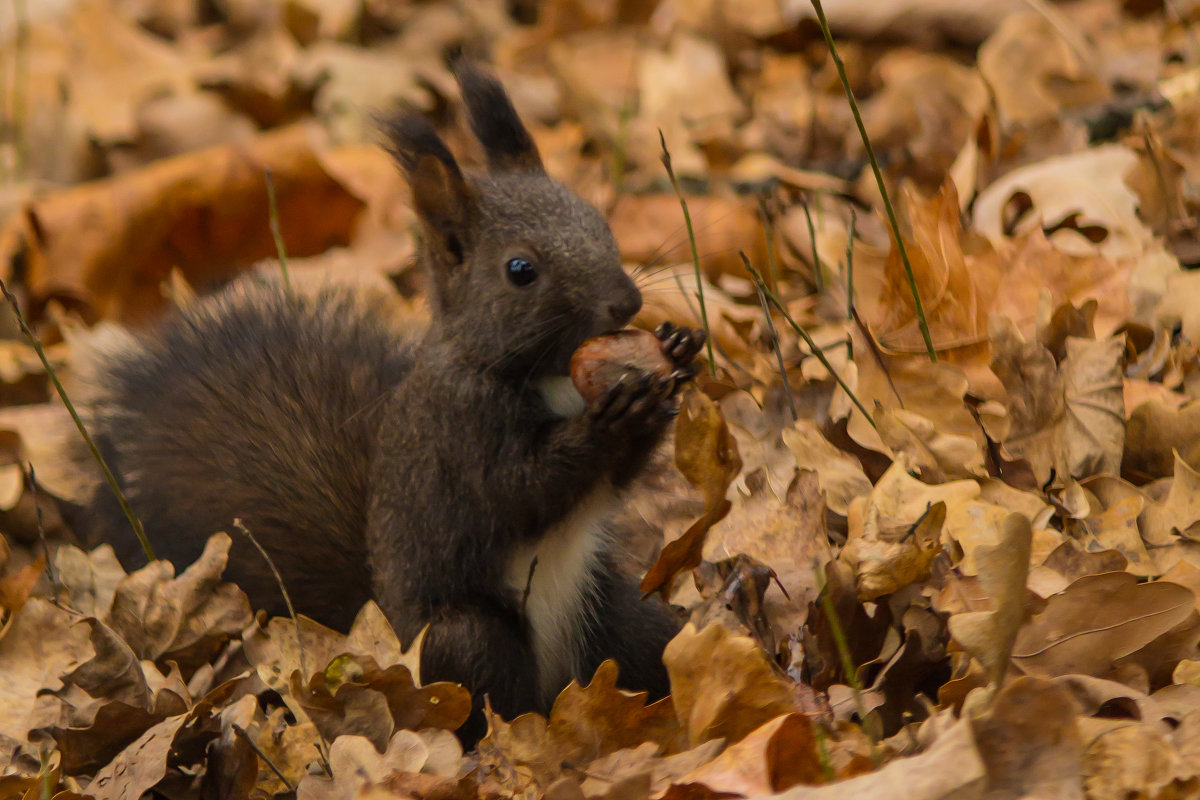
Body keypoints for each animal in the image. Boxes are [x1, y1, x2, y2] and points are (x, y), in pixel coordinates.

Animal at [65, 65, 700, 748]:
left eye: (598, 223)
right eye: (520, 269)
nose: (626, 302)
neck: (538, 374)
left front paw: (677, 352)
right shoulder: (459, 433)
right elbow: (522, 490)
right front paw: (608, 422)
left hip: (616, 612)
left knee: (645, 643)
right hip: (467, 639)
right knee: (488, 700)